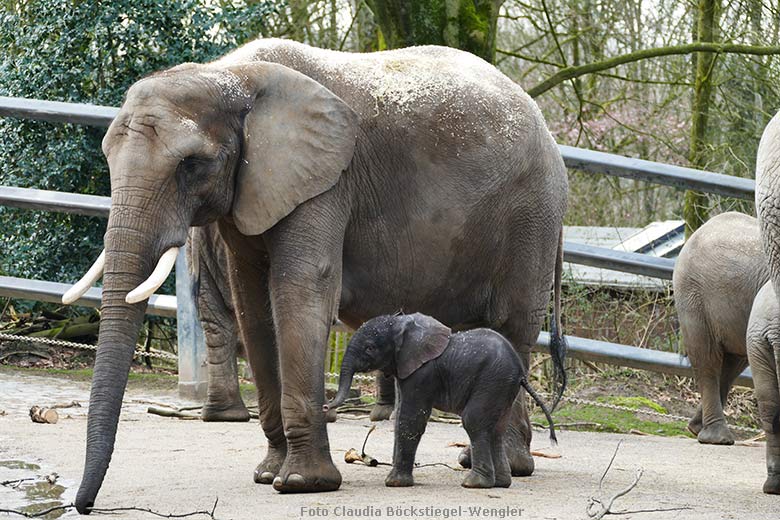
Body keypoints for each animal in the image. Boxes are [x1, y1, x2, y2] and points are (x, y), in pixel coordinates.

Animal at [322, 312, 556, 488]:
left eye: (369, 348)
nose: (325, 406)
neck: (403, 325)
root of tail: (520, 372)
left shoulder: (424, 374)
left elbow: (411, 418)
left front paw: (395, 483)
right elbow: (400, 417)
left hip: (492, 381)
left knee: (474, 422)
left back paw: (474, 484)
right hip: (502, 387)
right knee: (496, 429)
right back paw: (501, 484)